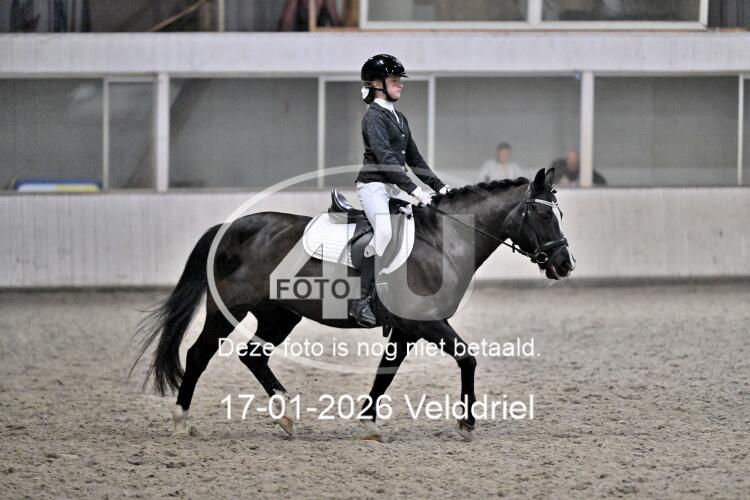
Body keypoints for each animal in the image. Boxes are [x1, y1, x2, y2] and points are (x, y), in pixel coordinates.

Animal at [131, 168, 575, 442]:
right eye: (541, 216)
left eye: (560, 213)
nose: (565, 264)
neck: (442, 242)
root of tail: (230, 228)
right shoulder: (425, 324)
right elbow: (467, 358)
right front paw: (465, 424)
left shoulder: (407, 330)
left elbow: (385, 373)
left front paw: (369, 423)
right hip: (229, 310)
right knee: (199, 354)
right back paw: (181, 421)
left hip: (280, 314)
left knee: (253, 355)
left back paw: (285, 416)